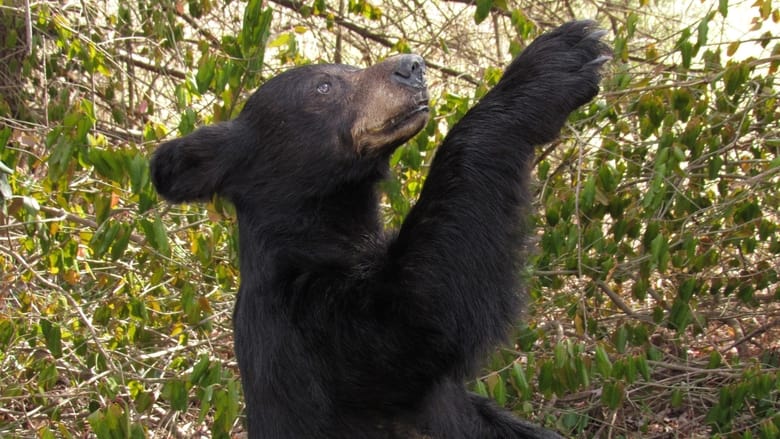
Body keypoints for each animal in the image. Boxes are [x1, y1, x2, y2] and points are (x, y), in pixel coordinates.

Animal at [150, 20, 608, 439]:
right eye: (324, 87)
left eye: (349, 67)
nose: (413, 66)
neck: (330, 227)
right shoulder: (314, 327)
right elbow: (428, 312)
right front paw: (559, 59)